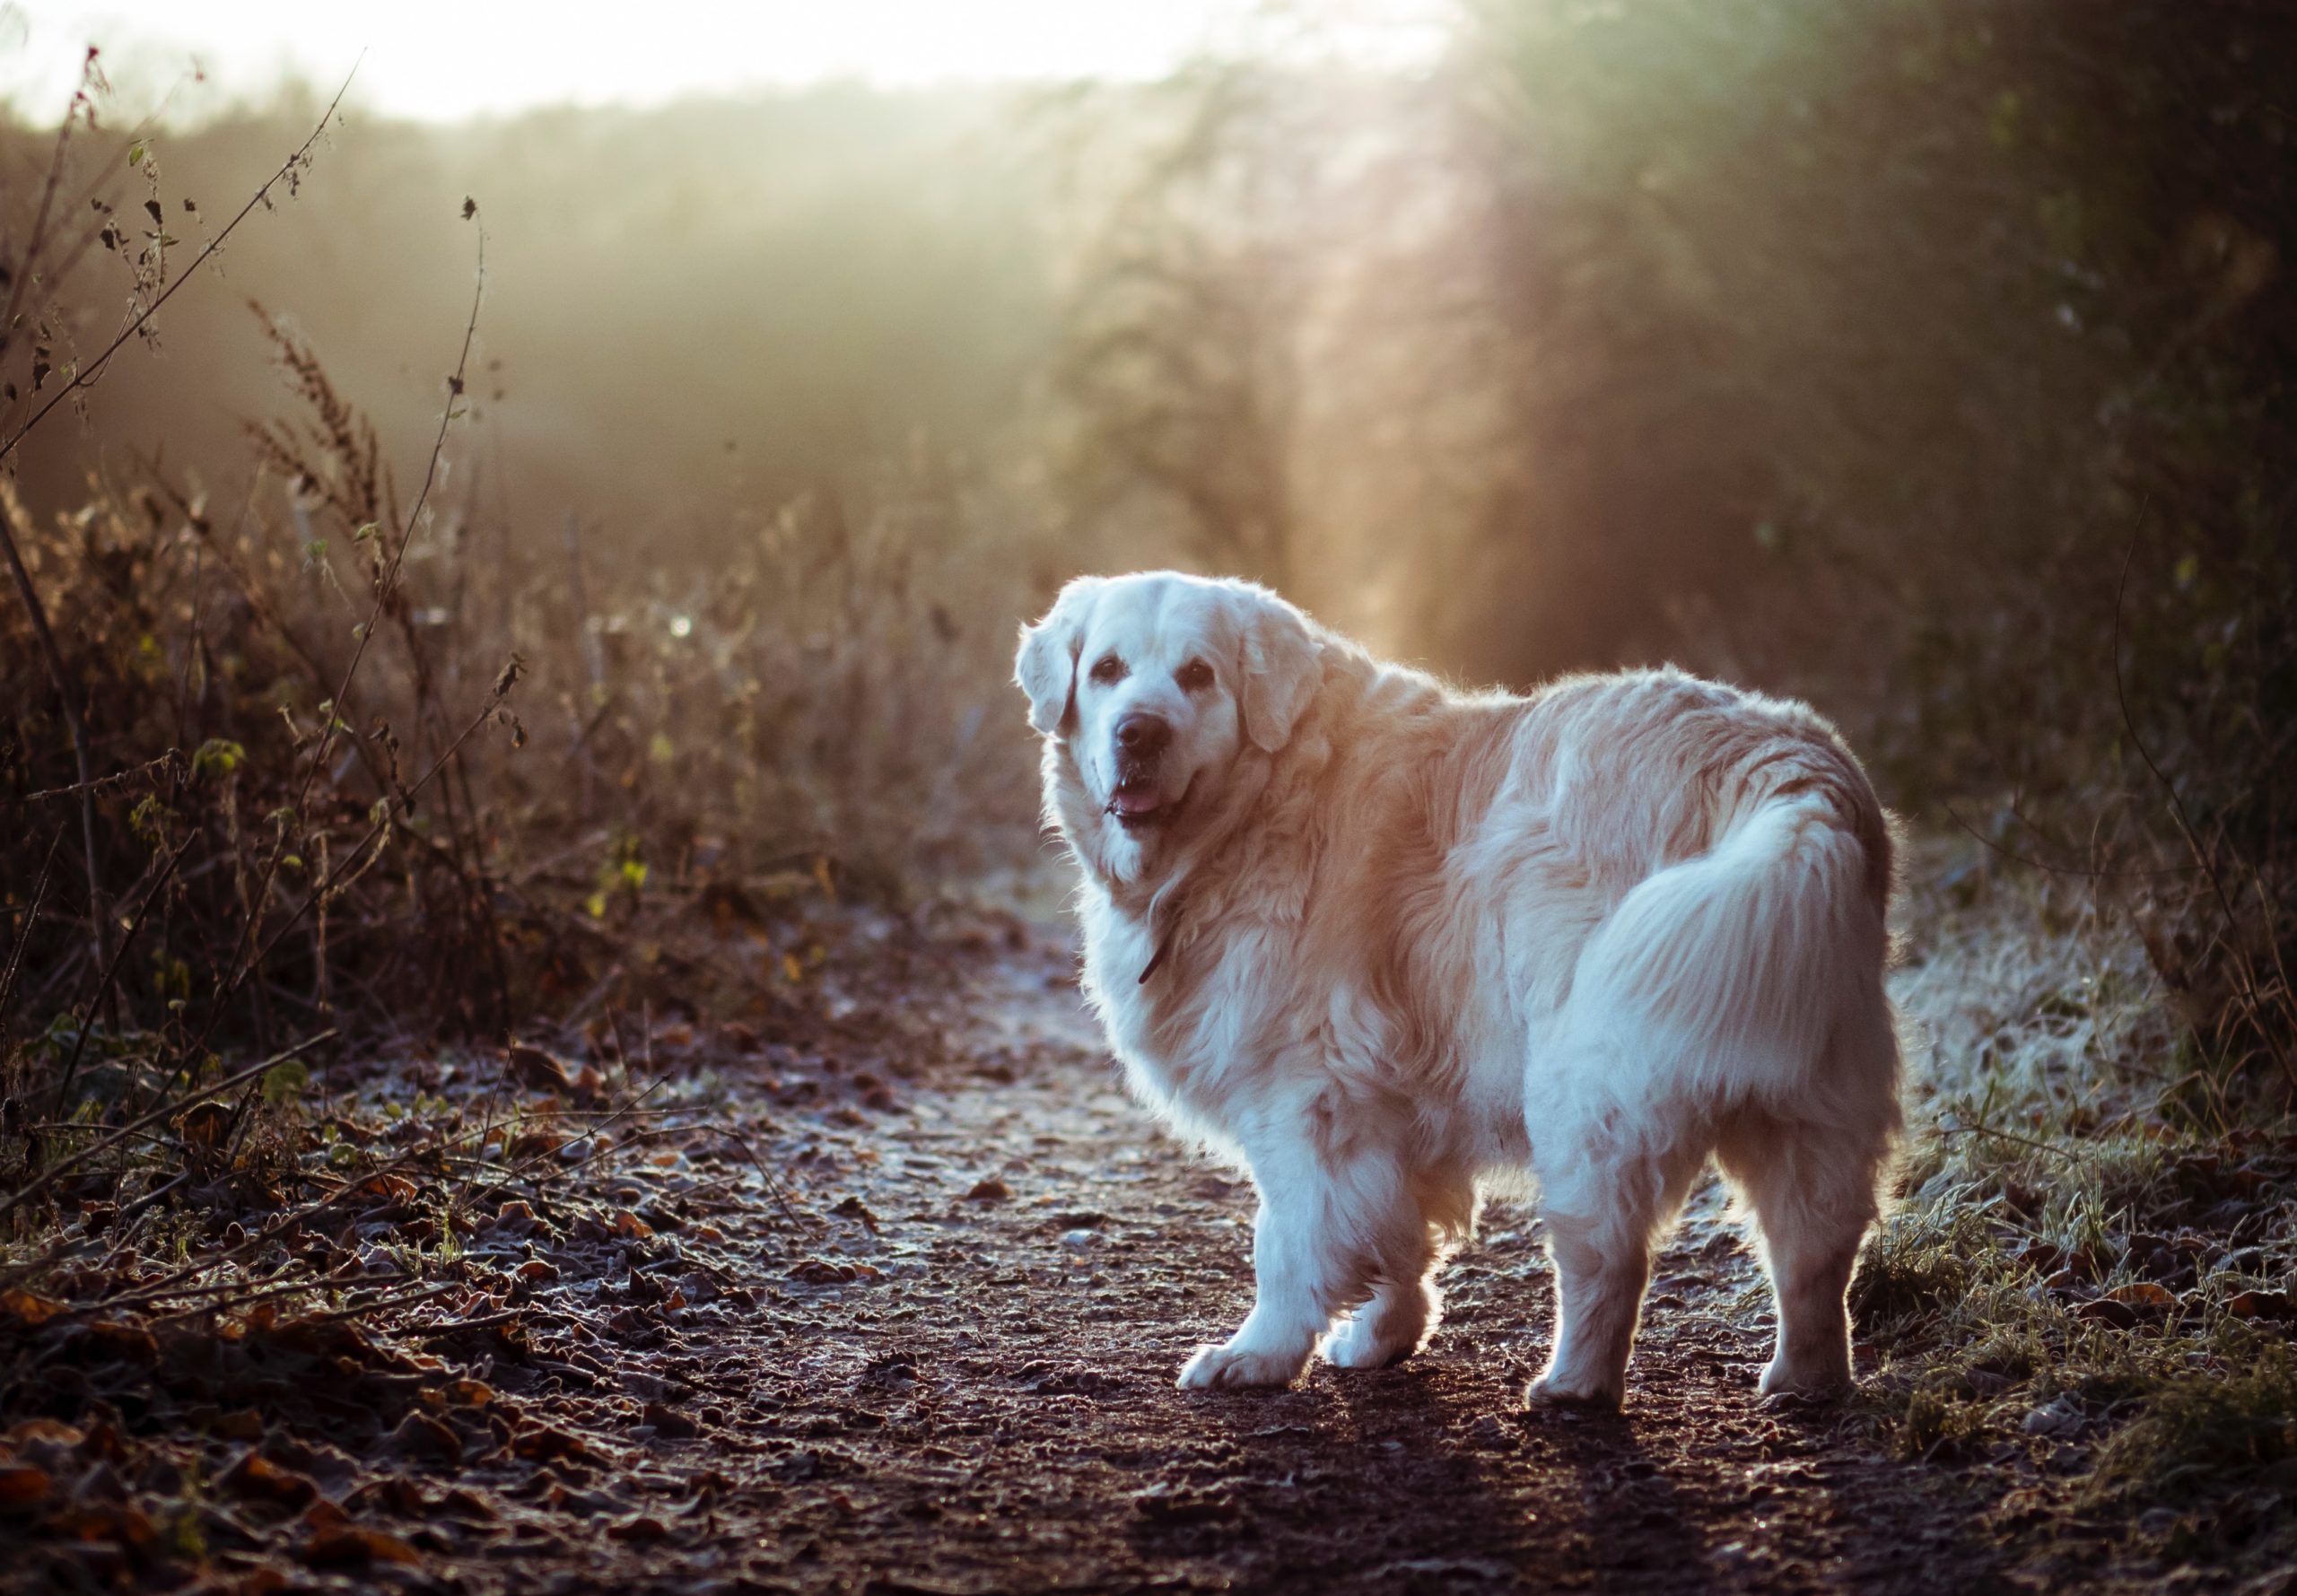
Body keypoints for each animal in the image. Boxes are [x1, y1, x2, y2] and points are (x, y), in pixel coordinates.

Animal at [1019, 576, 1901, 1414]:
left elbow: (1291, 1240)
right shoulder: (1388, 1108)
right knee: (1815, 1245)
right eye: (1106, 670)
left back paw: (1573, 1385)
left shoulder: (1306, 1099)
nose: (1138, 731)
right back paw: (1805, 1379)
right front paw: (1383, 1336)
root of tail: (1789, 771)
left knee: (1607, 1256)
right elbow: (1395, 1234)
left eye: (1199, 675)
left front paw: (1258, 1355)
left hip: (1588, 1089)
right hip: (1805, 1087)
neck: (1254, 810)